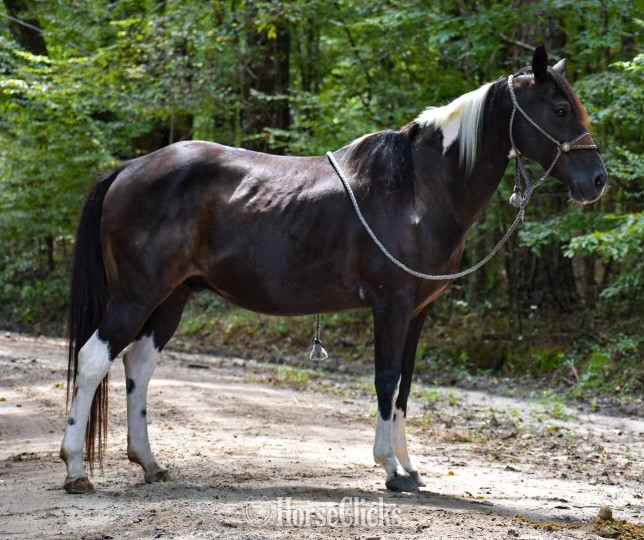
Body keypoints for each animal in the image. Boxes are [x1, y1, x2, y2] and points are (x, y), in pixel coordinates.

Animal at [60, 46, 606, 494]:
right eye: (560, 110)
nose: (597, 181)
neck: (417, 188)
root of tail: (125, 170)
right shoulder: (390, 305)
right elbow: (386, 379)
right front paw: (390, 469)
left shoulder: (417, 314)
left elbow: (406, 384)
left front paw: (410, 468)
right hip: (136, 295)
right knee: (93, 359)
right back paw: (76, 470)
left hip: (172, 297)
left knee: (138, 364)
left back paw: (149, 463)